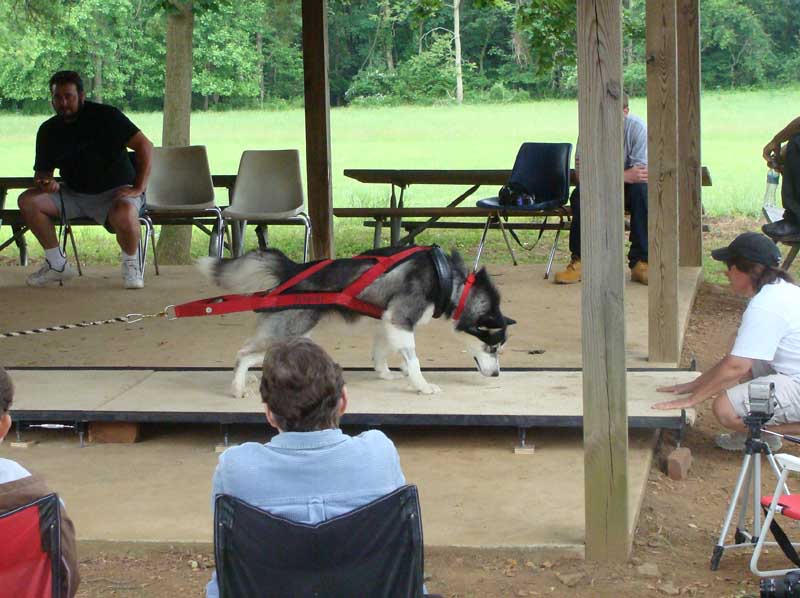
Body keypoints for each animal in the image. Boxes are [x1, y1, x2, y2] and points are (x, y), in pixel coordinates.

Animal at [197, 248, 516, 398]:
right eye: (492, 348)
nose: (497, 375)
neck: (450, 280)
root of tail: (294, 268)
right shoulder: (401, 319)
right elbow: (413, 361)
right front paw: (422, 386)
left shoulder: (388, 321)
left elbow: (383, 352)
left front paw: (386, 373)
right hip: (291, 329)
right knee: (244, 353)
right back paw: (237, 387)